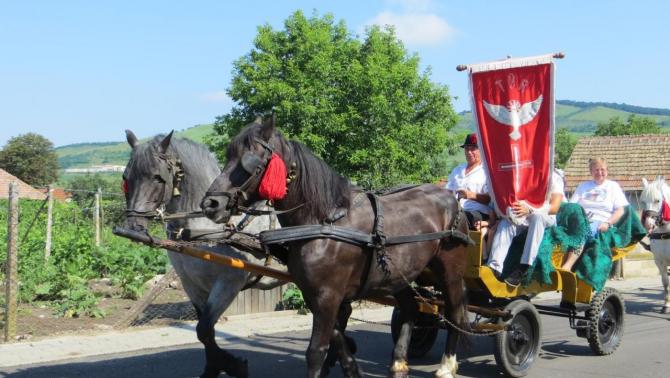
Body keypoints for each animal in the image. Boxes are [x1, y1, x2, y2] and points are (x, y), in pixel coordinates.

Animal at [123, 131, 286, 378]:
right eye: (126, 177)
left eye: (157, 177)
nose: (133, 227)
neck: (206, 227)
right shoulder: (192, 284)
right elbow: (206, 332)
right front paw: (215, 367)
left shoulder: (228, 283)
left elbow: (204, 328)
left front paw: (234, 364)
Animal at [202, 116, 470, 376]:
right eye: (228, 155)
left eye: (250, 161)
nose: (211, 204)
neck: (324, 221)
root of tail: (450, 197)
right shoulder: (316, 296)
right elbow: (338, 339)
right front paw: (352, 369)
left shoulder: (327, 296)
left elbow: (316, 351)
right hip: (397, 275)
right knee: (411, 309)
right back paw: (399, 364)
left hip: (450, 272)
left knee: (455, 314)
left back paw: (447, 366)